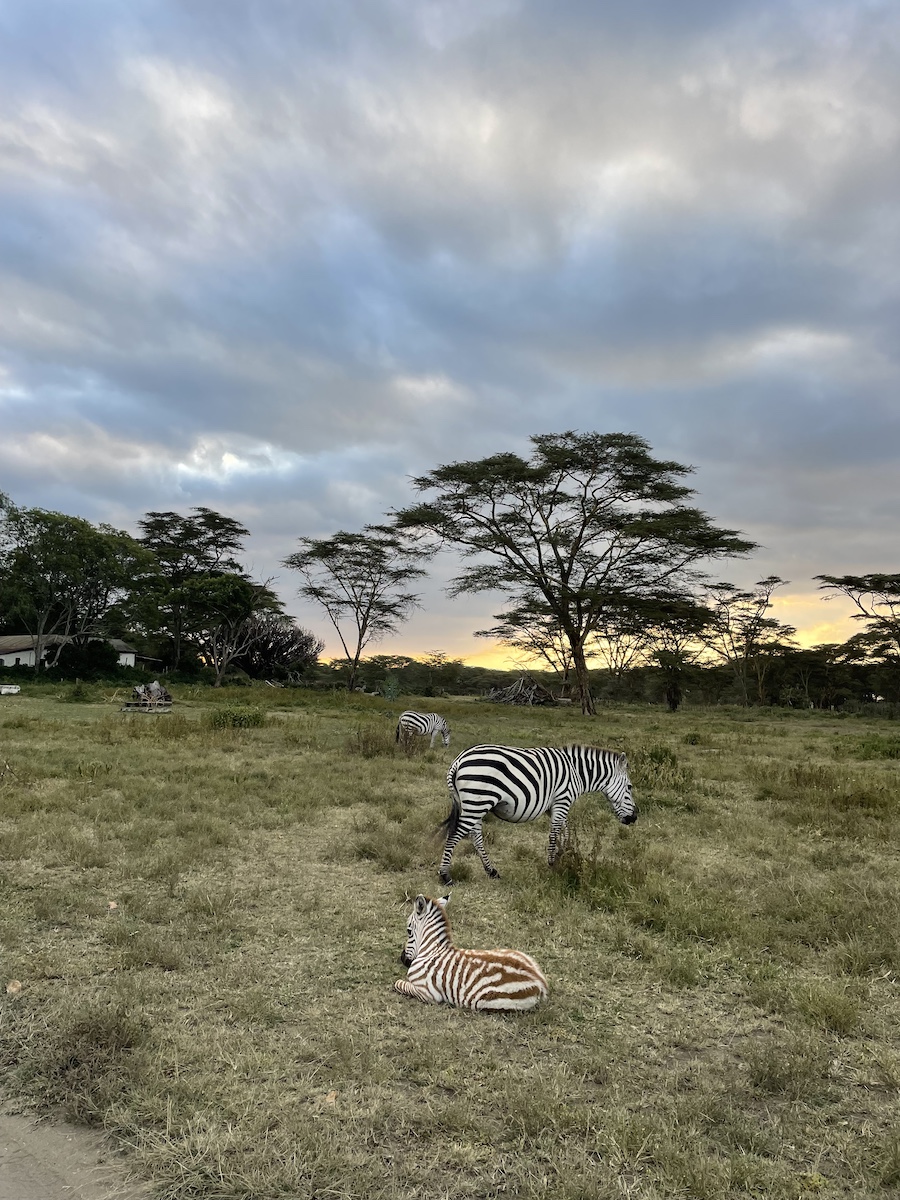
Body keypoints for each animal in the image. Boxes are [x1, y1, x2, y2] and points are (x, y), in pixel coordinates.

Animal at [394, 893, 548, 1011]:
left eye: (408, 931)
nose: (402, 959)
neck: (432, 950)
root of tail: (540, 981)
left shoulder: (428, 993)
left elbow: (398, 983)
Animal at [439, 744, 637, 885]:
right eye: (629, 787)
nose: (634, 817)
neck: (577, 773)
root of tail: (458, 760)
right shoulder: (563, 800)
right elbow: (554, 834)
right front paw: (552, 864)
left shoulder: (554, 806)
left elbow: (564, 830)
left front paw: (565, 854)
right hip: (477, 801)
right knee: (455, 835)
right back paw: (445, 875)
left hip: (476, 803)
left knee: (476, 835)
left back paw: (491, 871)